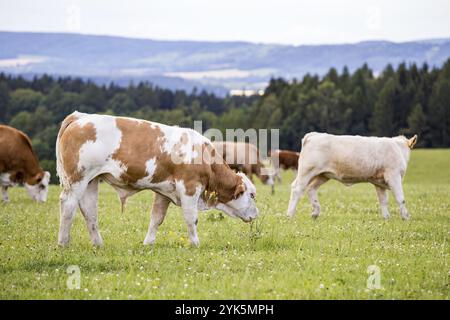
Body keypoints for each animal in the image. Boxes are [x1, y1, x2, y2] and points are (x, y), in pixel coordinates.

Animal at [56, 112, 260, 248]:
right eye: (251, 195)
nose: (256, 215)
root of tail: (80, 117)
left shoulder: (164, 192)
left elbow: (156, 218)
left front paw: (148, 243)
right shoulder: (189, 188)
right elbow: (191, 218)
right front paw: (195, 243)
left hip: (91, 181)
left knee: (89, 211)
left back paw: (98, 244)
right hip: (78, 179)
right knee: (68, 205)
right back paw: (63, 243)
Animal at [288, 132, 418, 220]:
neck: (398, 148)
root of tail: (313, 135)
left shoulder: (379, 182)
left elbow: (383, 200)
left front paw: (386, 218)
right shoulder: (393, 175)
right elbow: (401, 198)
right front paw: (406, 217)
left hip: (322, 175)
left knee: (311, 189)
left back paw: (315, 212)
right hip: (307, 171)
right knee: (297, 188)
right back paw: (290, 214)